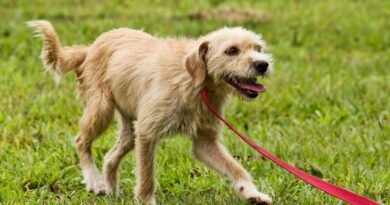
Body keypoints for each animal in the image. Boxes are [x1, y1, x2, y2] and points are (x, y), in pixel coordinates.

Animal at [27, 19, 272, 205]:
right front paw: (145, 200)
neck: (194, 82)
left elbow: (236, 168)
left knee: (110, 157)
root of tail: (90, 48)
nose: (263, 64)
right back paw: (94, 181)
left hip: (129, 128)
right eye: (231, 50)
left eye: (258, 48)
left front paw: (252, 192)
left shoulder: (205, 142)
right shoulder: (147, 132)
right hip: (101, 110)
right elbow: (146, 177)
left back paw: (111, 190)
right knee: (80, 141)